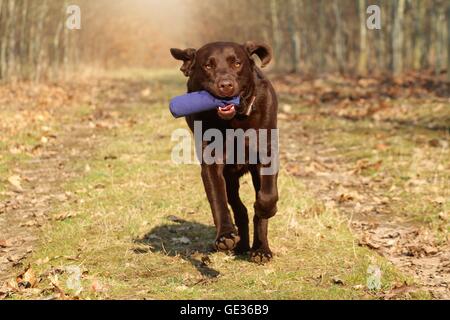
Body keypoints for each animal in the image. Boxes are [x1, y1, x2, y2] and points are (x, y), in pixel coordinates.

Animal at [171, 40, 280, 262]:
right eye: (208, 65)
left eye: (237, 63)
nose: (226, 85)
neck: (234, 121)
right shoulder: (212, 165)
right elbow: (218, 200)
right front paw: (225, 236)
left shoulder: (266, 155)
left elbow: (267, 196)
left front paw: (265, 209)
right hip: (230, 177)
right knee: (239, 209)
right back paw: (241, 245)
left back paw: (261, 250)